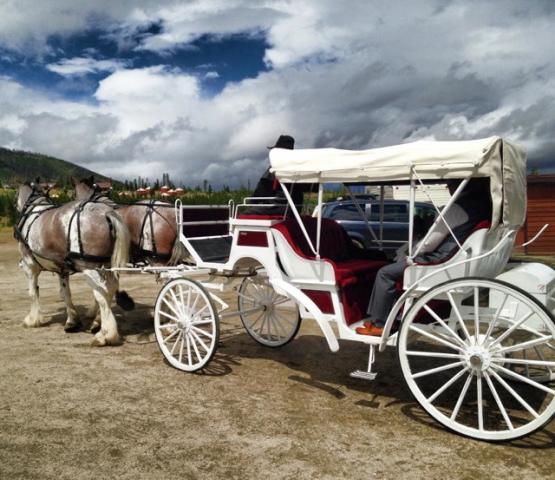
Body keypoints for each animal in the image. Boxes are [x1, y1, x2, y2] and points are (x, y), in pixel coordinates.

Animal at [14, 183, 131, 344]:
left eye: (15, 196)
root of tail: (105, 213)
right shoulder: (62, 269)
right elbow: (65, 293)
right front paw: (72, 321)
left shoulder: (29, 266)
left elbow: (33, 292)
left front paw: (32, 320)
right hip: (106, 265)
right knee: (110, 289)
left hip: (90, 267)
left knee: (102, 293)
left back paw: (106, 334)